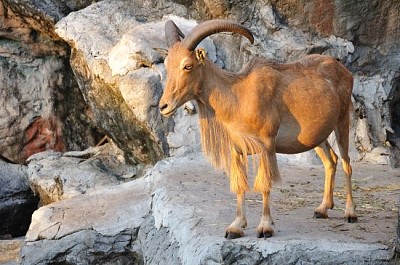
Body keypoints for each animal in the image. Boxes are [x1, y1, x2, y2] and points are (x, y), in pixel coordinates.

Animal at [158, 19, 358, 238]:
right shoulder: (237, 150)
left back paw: (350, 213)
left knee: (347, 163)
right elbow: (240, 185)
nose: (163, 106)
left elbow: (264, 185)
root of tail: (345, 70)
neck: (238, 96)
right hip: (317, 136)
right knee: (331, 161)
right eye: (167, 65)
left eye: (188, 65)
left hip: (342, 121)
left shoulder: (266, 145)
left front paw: (265, 227)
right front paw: (235, 226)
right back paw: (323, 208)